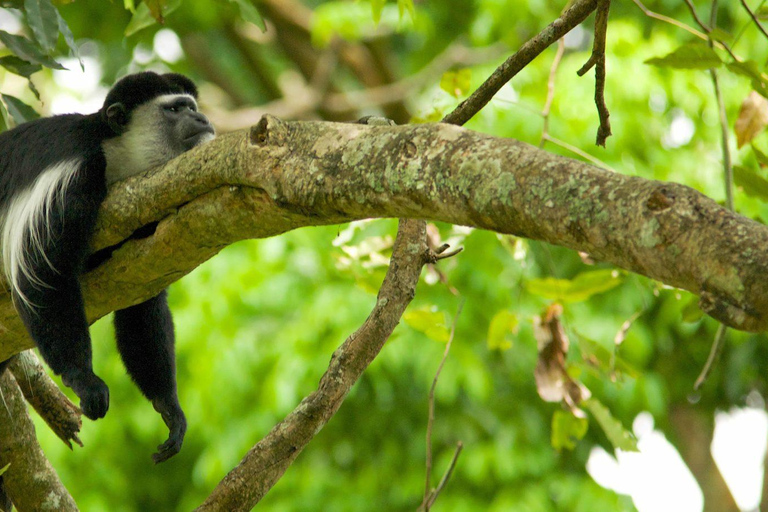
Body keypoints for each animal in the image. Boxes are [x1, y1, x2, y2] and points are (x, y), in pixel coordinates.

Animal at [0, 72, 214, 464]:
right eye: (175, 109)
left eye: (192, 106)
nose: (202, 119)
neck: (114, 157)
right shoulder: (68, 180)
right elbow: (46, 276)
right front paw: (85, 379)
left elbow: (142, 300)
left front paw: (170, 410)